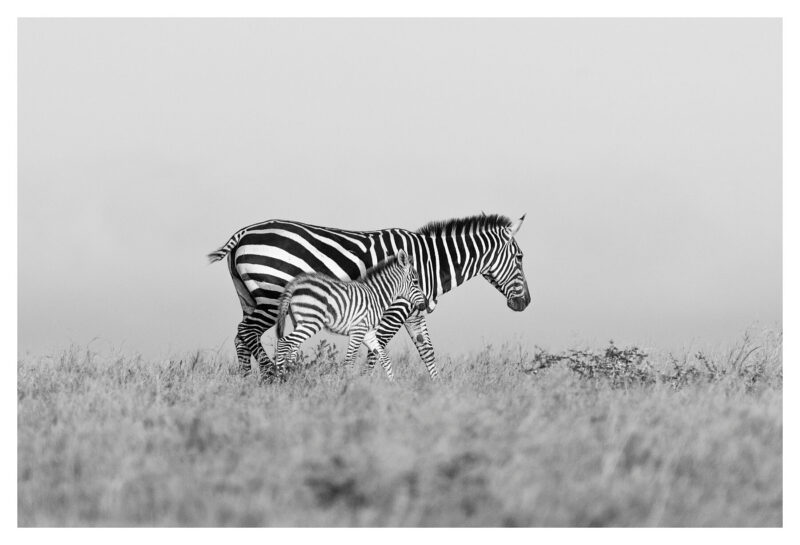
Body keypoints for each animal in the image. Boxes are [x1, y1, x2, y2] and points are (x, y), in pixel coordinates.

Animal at [274, 250, 424, 380]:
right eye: (416, 282)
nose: (425, 305)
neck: (376, 296)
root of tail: (296, 284)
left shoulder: (368, 333)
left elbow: (385, 359)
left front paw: (393, 384)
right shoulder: (358, 331)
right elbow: (349, 362)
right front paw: (347, 385)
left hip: (299, 322)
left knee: (291, 347)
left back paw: (289, 375)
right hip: (311, 322)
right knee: (283, 342)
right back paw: (279, 378)